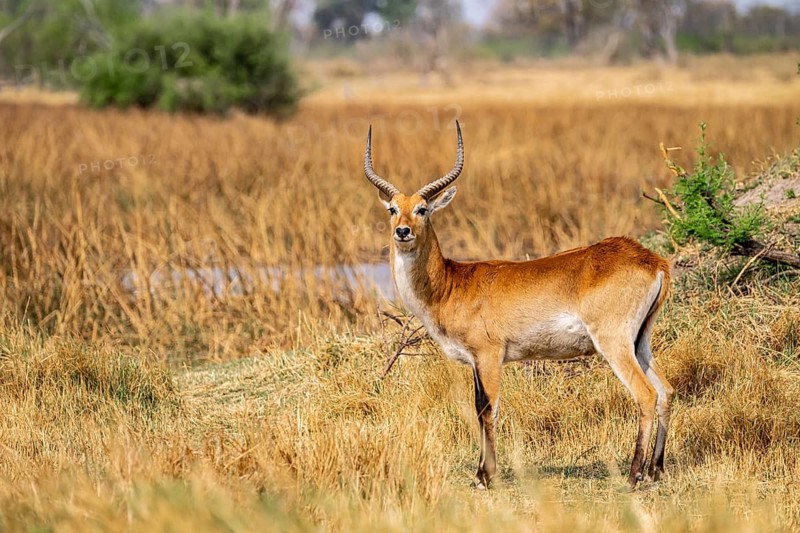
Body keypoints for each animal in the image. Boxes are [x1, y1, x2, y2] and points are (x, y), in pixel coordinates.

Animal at [364, 122, 674, 490]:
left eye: (422, 209)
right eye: (392, 209)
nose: (402, 232)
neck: (451, 284)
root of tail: (652, 260)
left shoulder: (489, 356)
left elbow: (488, 409)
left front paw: (484, 476)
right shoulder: (475, 362)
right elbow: (478, 406)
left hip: (614, 343)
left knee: (646, 394)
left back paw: (633, 475)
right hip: (641, 343)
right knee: (666, 391)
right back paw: (655, 470)